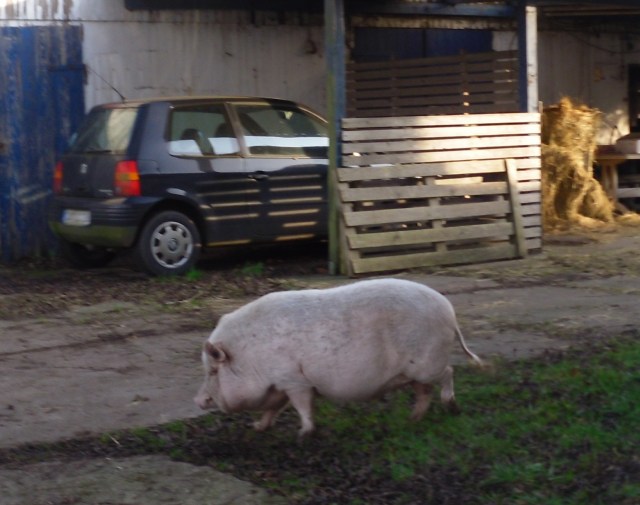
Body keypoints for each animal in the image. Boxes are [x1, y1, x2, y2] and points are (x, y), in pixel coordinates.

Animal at [194, 278, 482, 437]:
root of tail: (449, 311)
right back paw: (411, 420)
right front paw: (256, 427)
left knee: (448, 373)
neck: (250, 358)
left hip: (426, 364)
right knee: (424, 392)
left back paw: (452, 408)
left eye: (213, 371)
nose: (198, 400)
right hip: (413, 373)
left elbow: (302, 407)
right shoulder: (281, 384)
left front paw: (303, 435)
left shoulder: (294, 380)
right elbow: (272, 409)